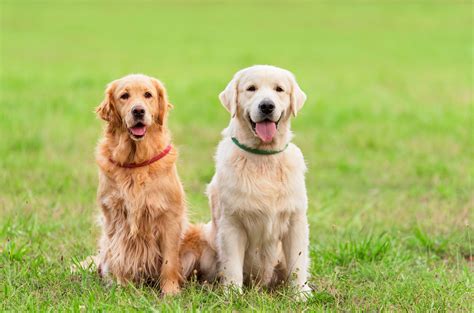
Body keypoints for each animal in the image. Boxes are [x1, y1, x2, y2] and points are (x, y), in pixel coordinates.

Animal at [94, 73, 185, 294]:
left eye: (148, 95)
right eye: (124, 96)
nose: (138, 111)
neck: (135, 162)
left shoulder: (169, 217)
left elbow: (169, 261)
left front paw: (170, 291)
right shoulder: (115, 216)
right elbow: (120, 254)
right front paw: (121, 285)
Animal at [181, 65, 312, 294]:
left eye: (279, 89)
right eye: (251, 88)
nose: (267, 105)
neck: (263, 158)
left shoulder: (296, 221)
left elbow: (298, 264)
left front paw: (300, 295)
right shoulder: (232, 223)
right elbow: (233, 266)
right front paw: (233, 294)